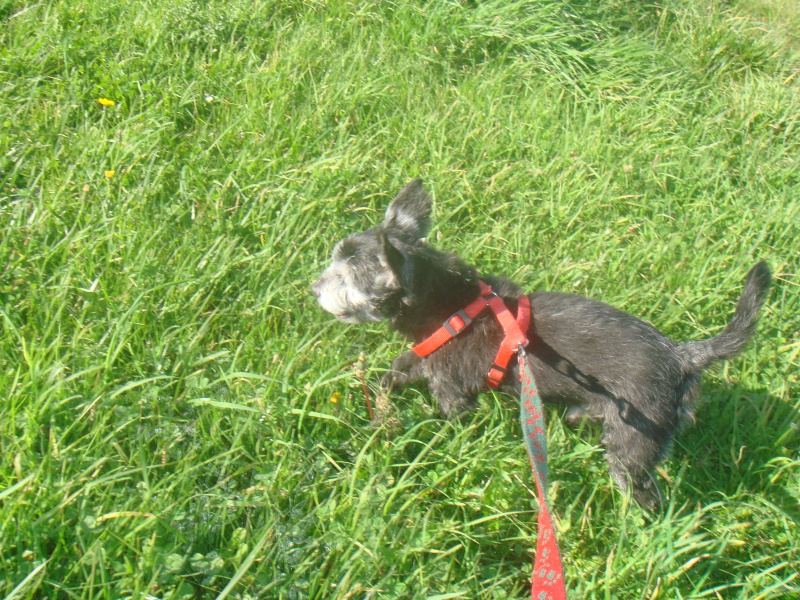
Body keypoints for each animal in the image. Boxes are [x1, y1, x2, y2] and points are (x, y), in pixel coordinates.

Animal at [310, 178, 768, 510]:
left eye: (344, 278)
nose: (313, 288)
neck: (447, 304)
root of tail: (681, 355)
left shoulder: (451, 388)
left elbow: (448, 418)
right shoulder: (422, 358)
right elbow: (392, 374)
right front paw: (375, 407)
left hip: (633, 444)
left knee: (644, 495)